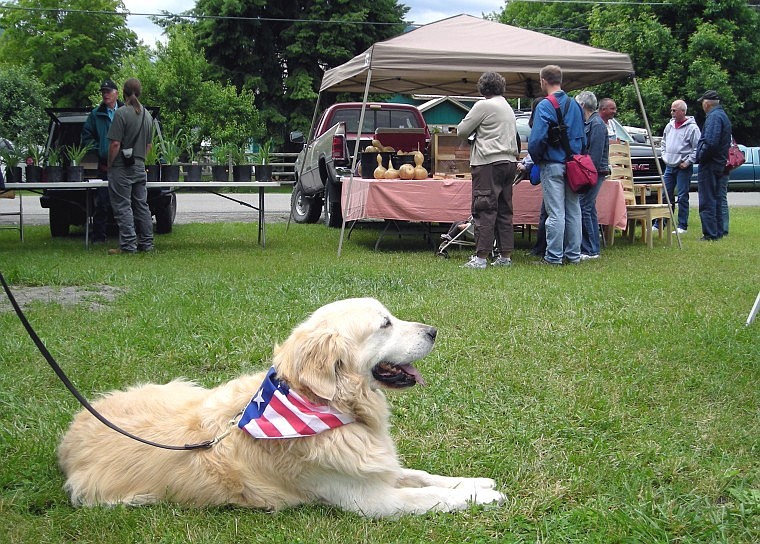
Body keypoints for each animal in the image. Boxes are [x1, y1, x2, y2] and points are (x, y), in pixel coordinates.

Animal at [59, 298, 504, 516]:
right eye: (385, 324)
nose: (434, 331)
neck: (320, 404)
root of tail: (69, 441)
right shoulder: (369, 500)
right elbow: (426, 497)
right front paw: (480, 498)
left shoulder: (377, 469)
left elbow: (423, 476)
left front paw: (474, 483)